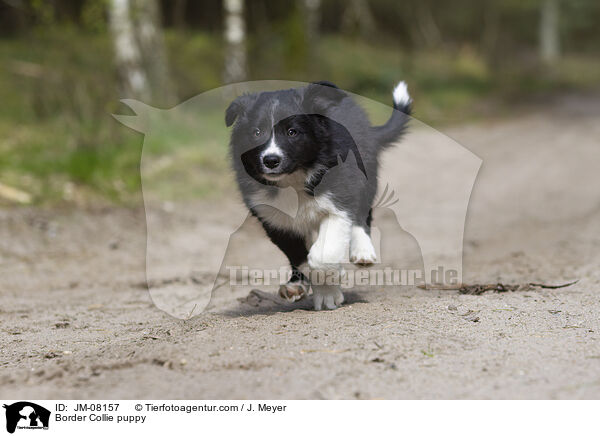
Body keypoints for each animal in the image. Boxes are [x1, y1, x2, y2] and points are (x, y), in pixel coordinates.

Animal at [226, 80, 412, 308]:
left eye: (292, 132)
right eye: (256, 132)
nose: (270, 160)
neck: (293, 180)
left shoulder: (339, 200)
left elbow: (322, 254)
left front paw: (330, 286)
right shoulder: (274, 219)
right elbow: (299, 256)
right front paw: (319, 286)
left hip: (366, 173)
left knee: (362, 214)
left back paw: (363, 251)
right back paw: (295, 284)